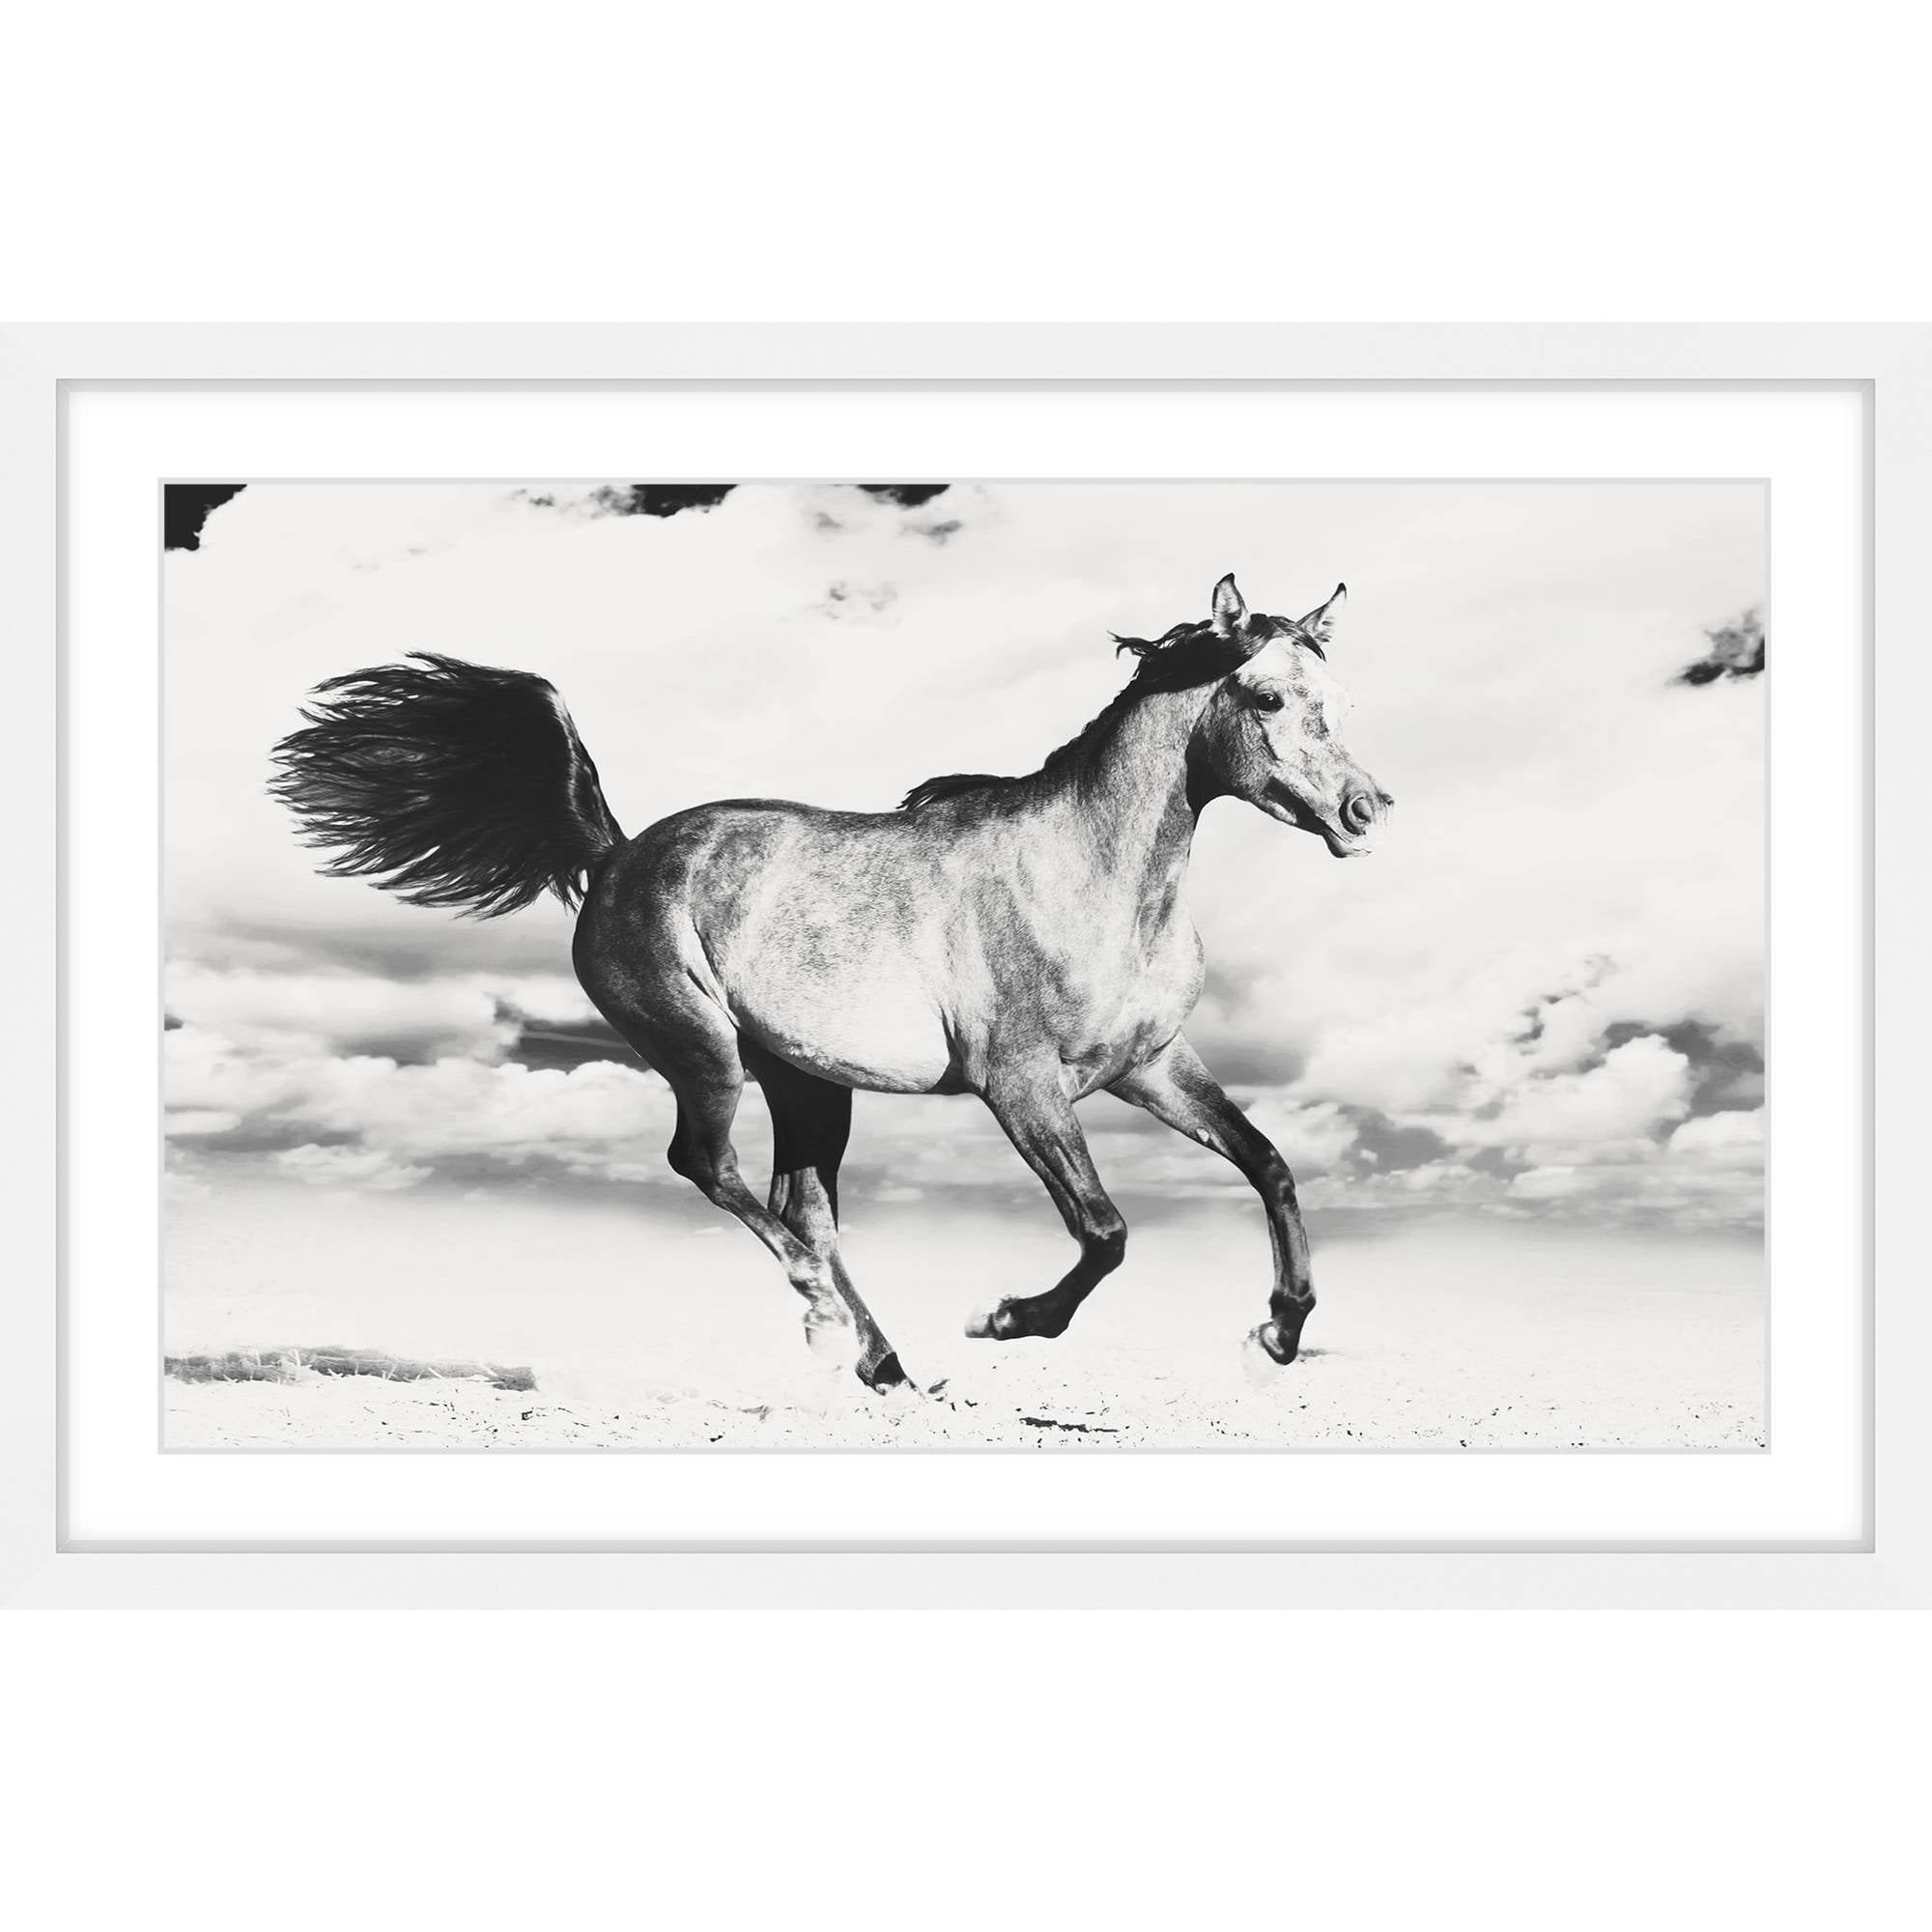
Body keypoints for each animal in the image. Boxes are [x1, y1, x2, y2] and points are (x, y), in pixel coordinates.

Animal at [269, 572, 1391, 1390]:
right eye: (1264, 697)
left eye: (1336, 702)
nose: (1365, 810)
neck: (1090, 876)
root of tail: (619, 852)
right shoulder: (1020, 1085)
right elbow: (1104, 1230)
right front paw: (1004, 1319)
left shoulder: (1149, 1066)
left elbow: (1269, 1165)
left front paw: (1278, 1333)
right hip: (705, 1052)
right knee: (710, 1168)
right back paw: (827, 1319)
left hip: (807, 1080)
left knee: (800, 1204)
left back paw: (883, 1363)